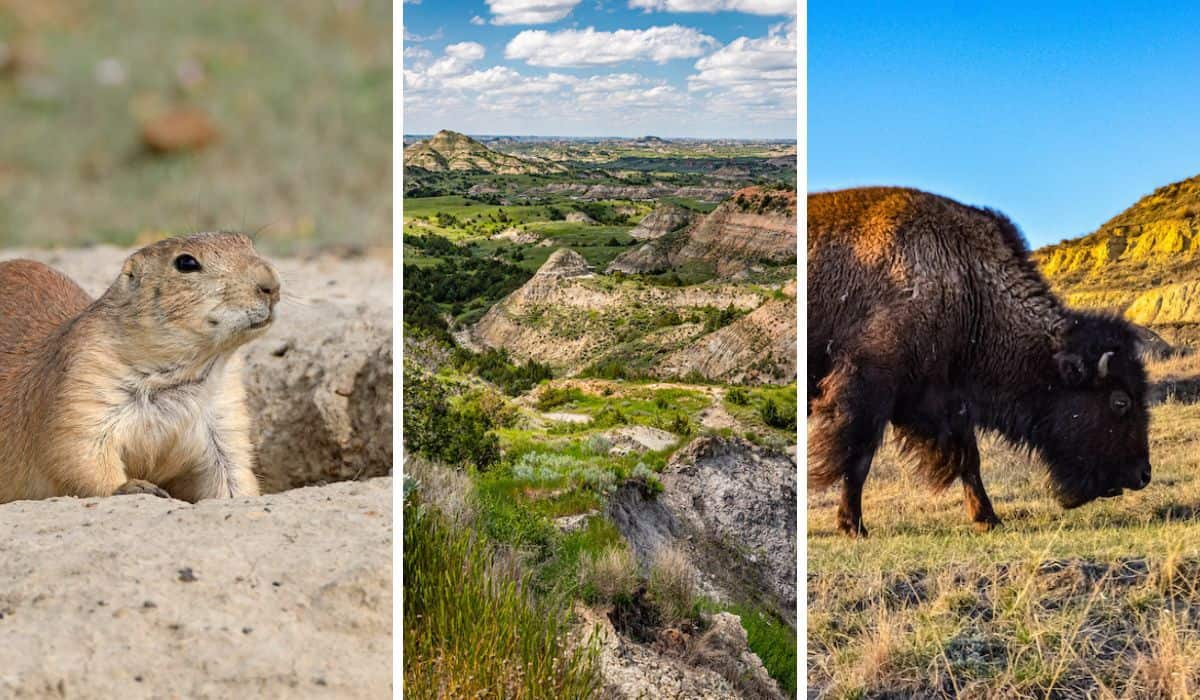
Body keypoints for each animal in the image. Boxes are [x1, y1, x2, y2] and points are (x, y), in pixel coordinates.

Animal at [806, 186, 1152, 537]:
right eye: (1120, 402)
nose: (1142, 474)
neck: (966, 281)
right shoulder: (868, 388)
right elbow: (858, 457)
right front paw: (853, 526)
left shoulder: (950, 398)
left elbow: (969, 459)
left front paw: (988, 518)